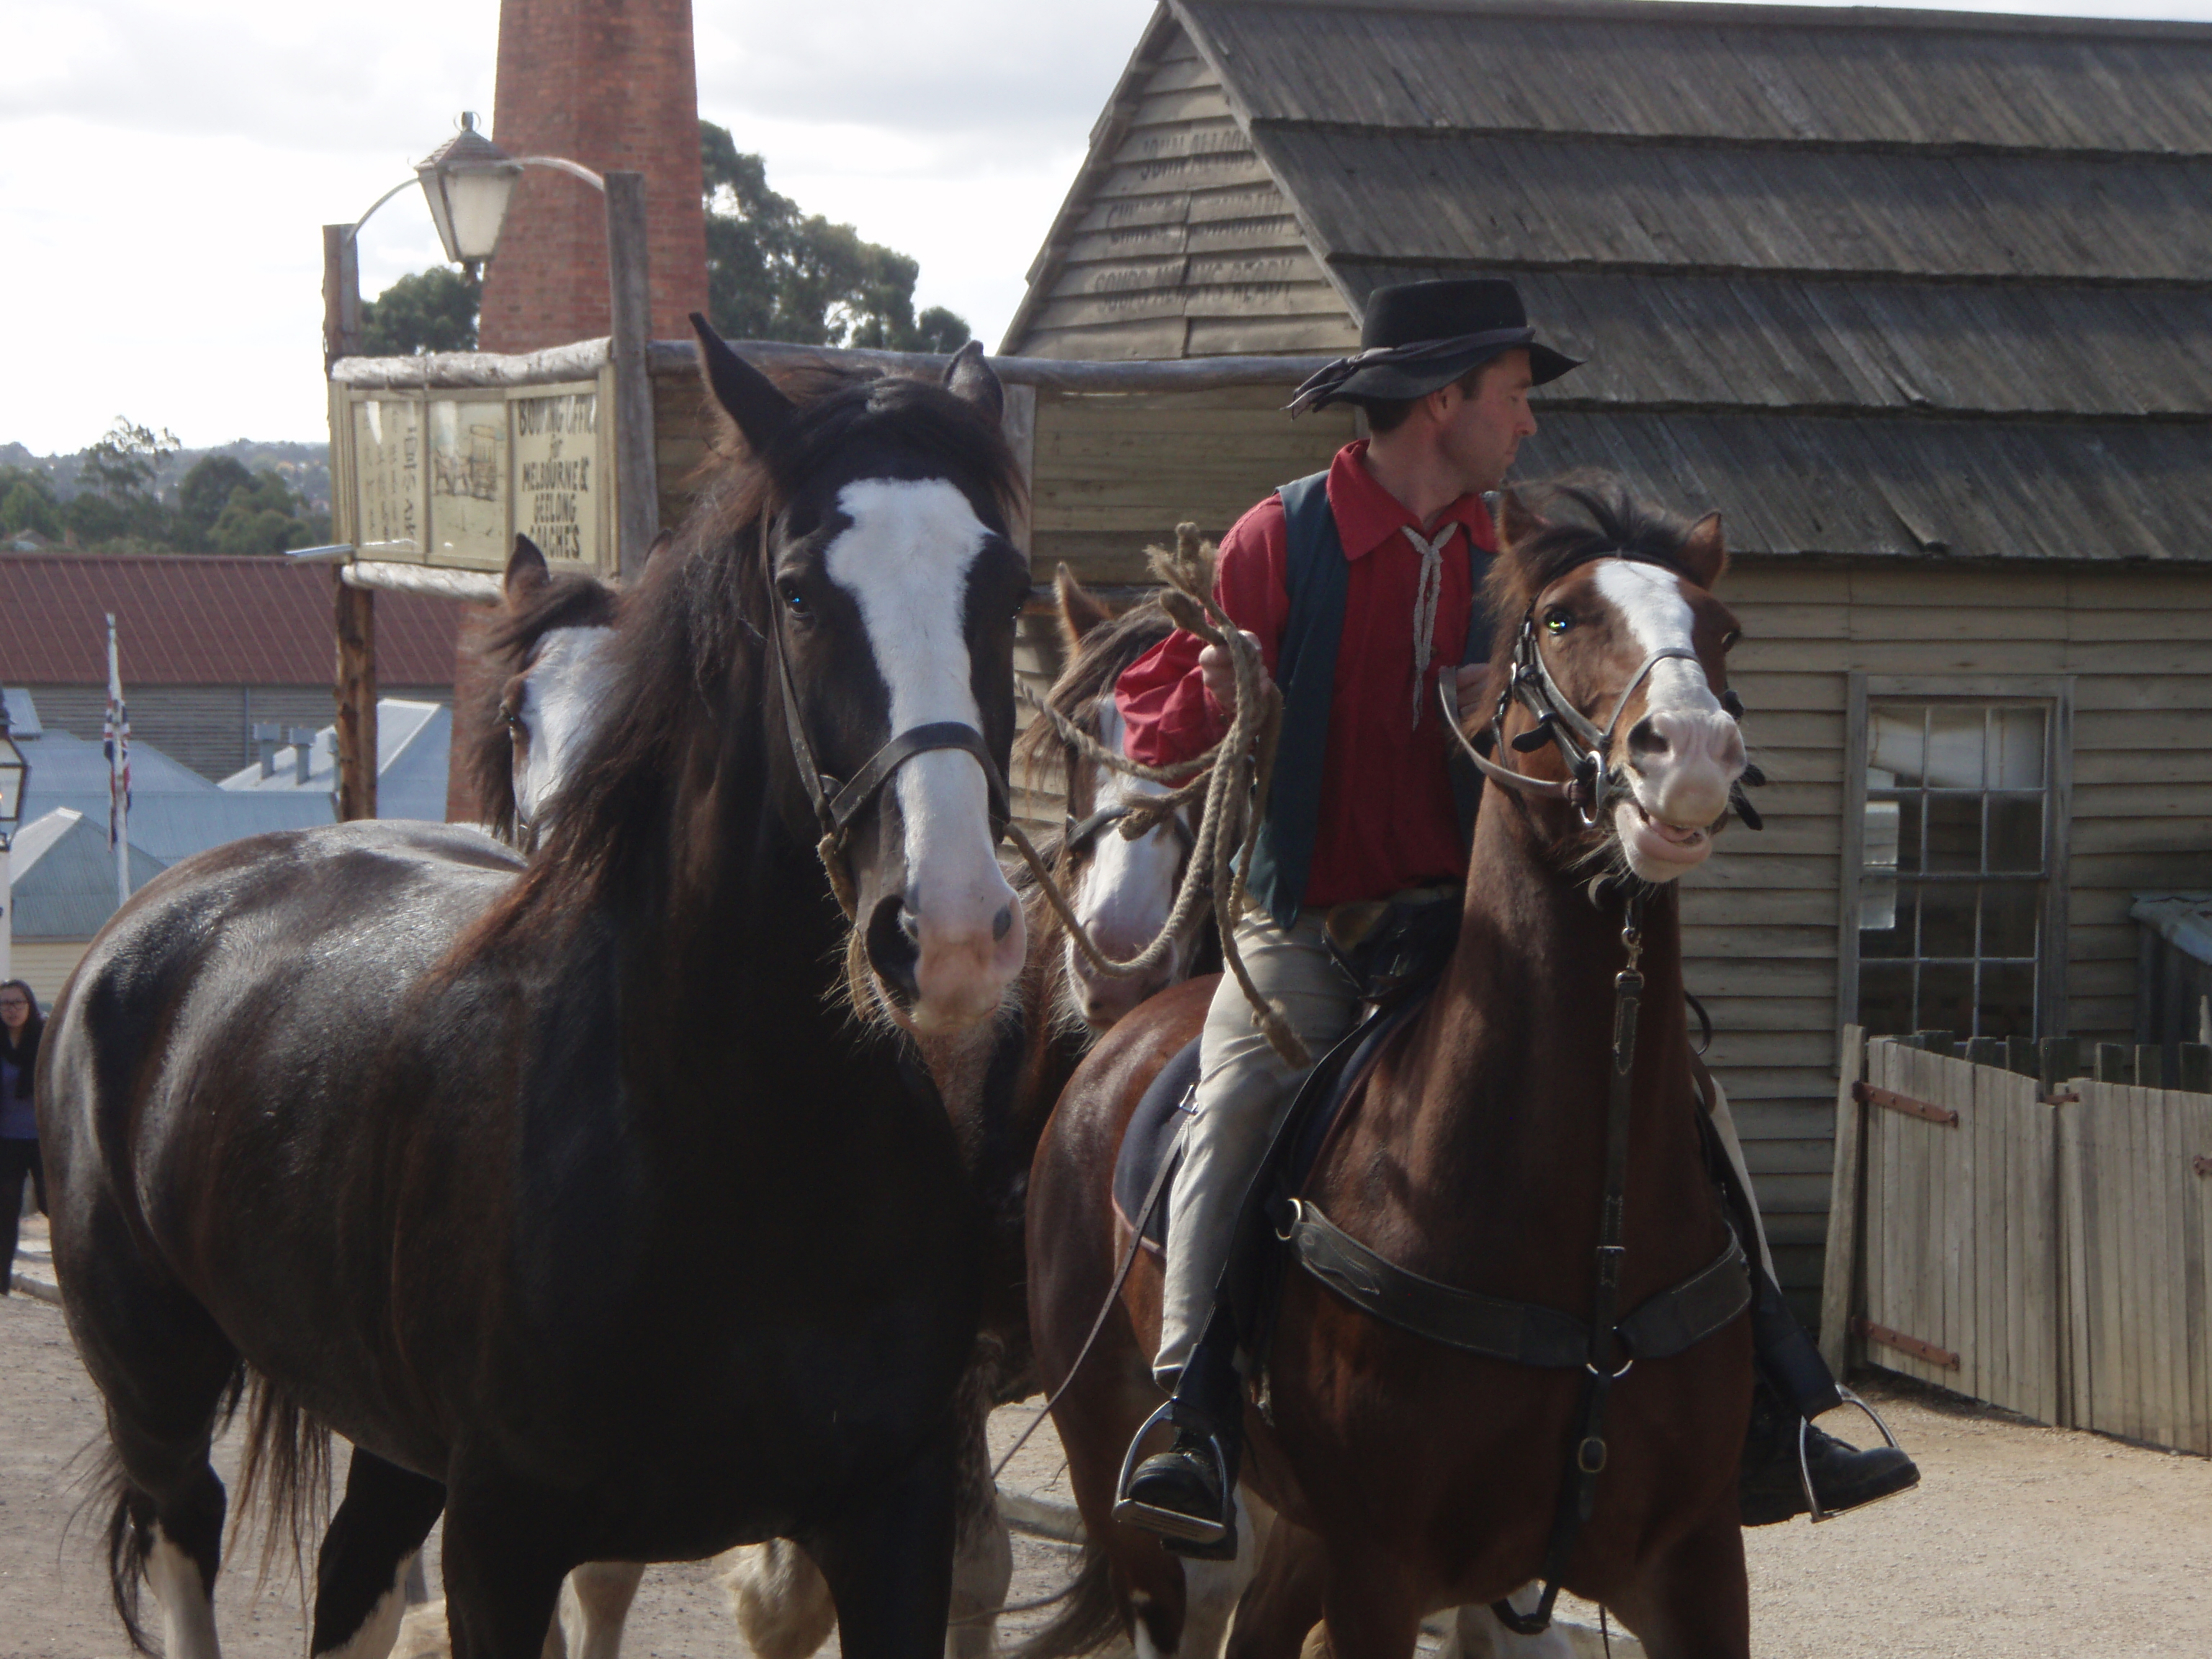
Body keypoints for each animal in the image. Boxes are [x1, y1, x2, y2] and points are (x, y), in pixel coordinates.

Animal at [37, 325, 1035, 1659]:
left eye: (1008, 591)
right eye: (798, 593)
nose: (954, 928)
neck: (735, 1151)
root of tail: (153, 916)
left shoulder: (892, 1522)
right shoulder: (503, 1538)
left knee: (351, 1574)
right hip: (157, 1391)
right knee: (185, 1543)